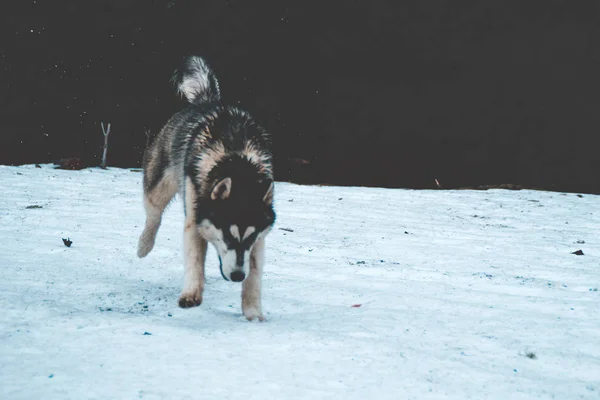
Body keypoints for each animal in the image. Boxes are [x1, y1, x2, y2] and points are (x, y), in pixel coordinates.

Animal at [137, 55, 276, 322]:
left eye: (250, 237)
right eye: (228, 235)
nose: (237, 276)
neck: (237, 162)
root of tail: (208, 100)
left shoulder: (259, 241)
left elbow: (254, 275)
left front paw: (253, 312)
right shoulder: (194, 220)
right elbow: (194, 261)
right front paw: (191, 294)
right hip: (160, 185)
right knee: (153, 215)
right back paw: (144, 245)